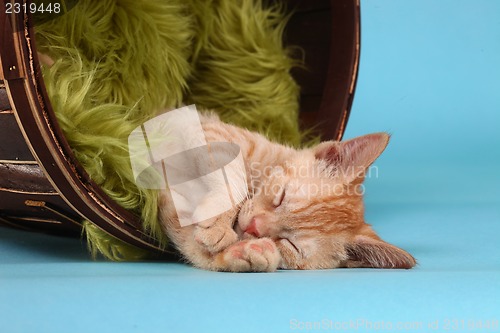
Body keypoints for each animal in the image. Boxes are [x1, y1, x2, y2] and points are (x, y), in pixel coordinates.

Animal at [159, 113, 414, 272]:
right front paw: (219, 223)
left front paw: (248, 252)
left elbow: (192, 245)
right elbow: (233, 173)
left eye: (290, 244)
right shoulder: (214, 131)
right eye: (281, 197)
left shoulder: (172, 208)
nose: (253, 227)